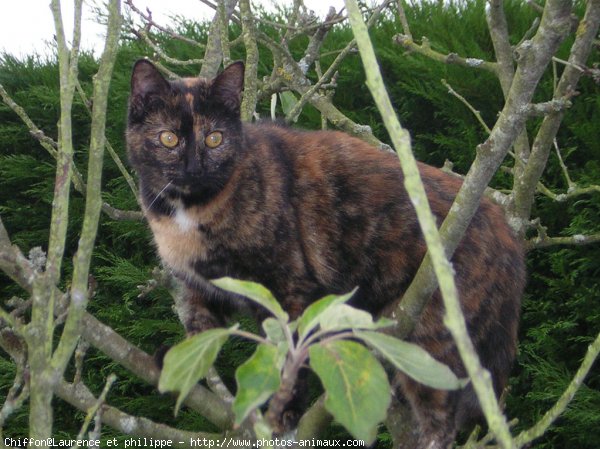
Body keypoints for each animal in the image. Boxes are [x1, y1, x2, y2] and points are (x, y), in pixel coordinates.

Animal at [127, 60, 524, 448]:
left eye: (214, 138)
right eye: (168, 138)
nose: (193, 169)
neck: (187, 213)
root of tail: (508, 234)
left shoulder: (289, 286)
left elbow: (291, 357)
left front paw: (285, 412)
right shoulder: (202, 286)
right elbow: (201, 333)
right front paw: (178, 367)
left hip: (433, 334)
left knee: (442, 416)